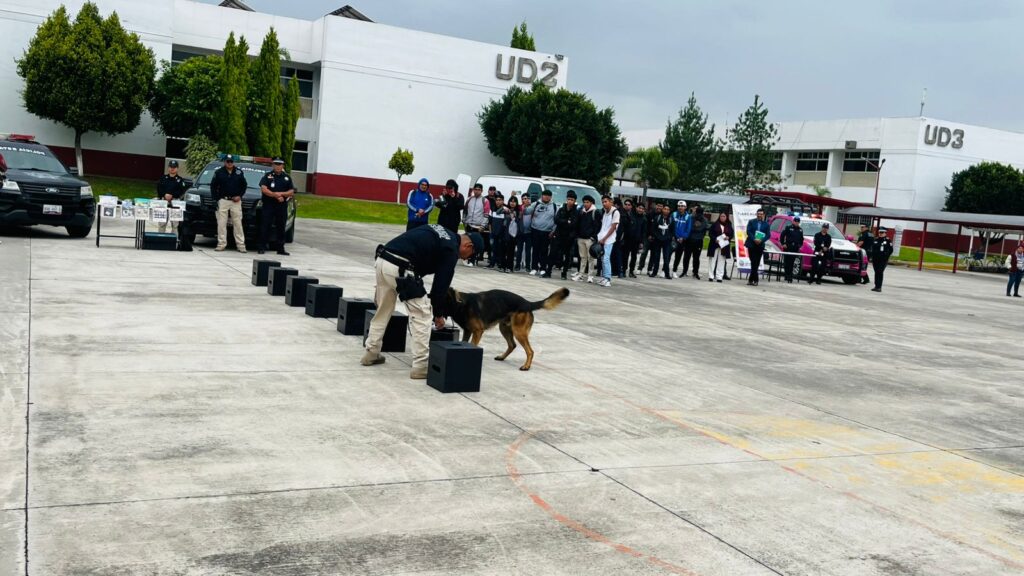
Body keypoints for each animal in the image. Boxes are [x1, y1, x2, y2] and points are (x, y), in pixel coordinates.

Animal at [444, 286, 573, 373]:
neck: (461, 304)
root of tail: (528, 303)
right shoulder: (468, 331)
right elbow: (464, 343)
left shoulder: (477, 331)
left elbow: (472, 344)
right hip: (504, 328)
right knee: (512, 345)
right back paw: (502, 357)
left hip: (518, 332)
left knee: (530, 351)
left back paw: (526, 366)